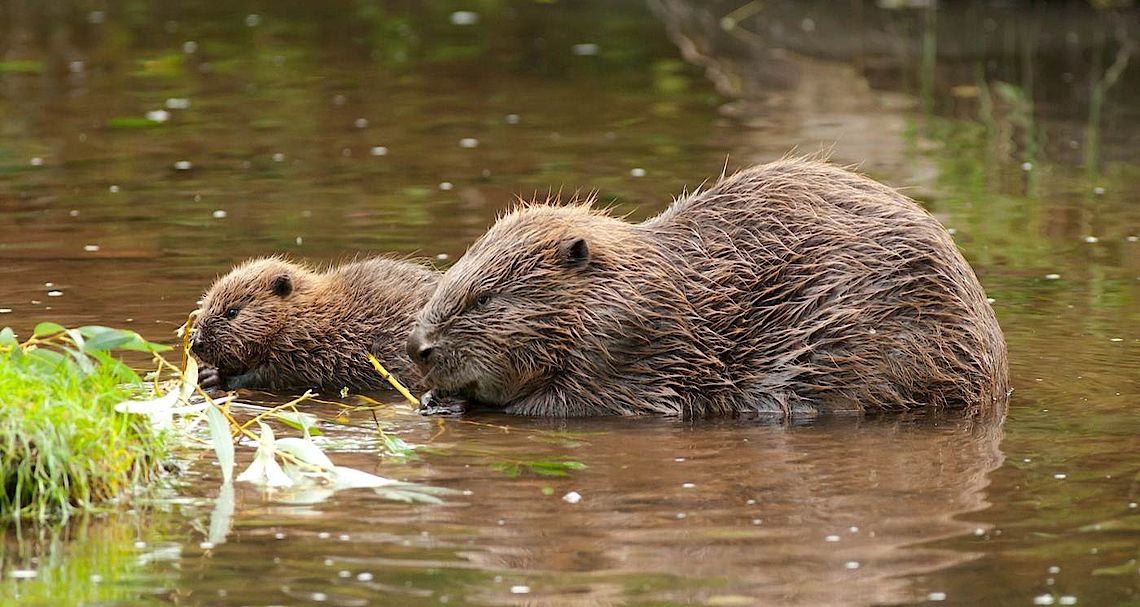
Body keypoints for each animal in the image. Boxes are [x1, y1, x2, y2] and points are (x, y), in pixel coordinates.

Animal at [191, 253, 435, 390]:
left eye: (232, 312)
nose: (197, 343)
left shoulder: (302, 351)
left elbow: (270, 376)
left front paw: (215, 377)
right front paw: (204, 372)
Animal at [405, 157, 1012, 417]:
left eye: (486, 298)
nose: (418, 348)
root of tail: (999, 377)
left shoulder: (633, 343)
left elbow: (584, 401)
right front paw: (435, 398)